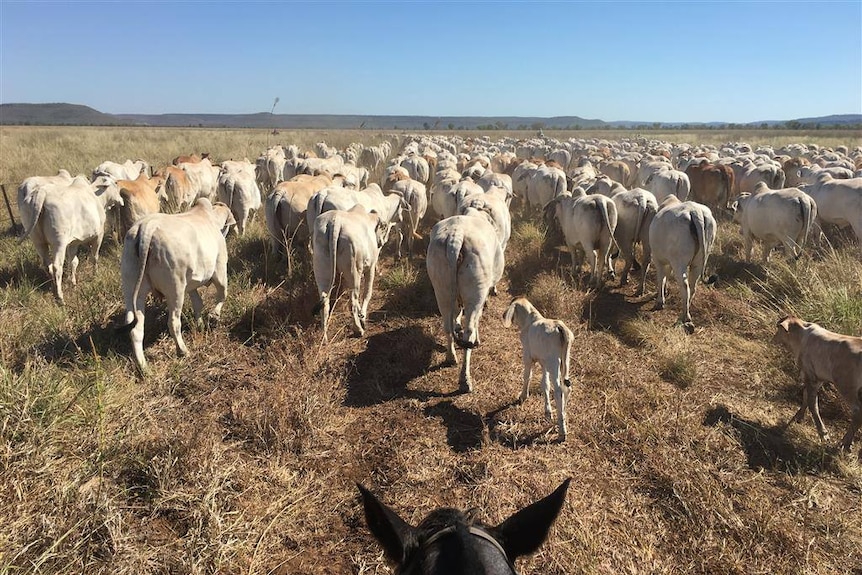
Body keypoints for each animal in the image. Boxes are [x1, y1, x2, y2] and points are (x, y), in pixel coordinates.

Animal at [506, 296, 572, 440]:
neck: (530, 320)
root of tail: (559, 326)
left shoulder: (528, 356)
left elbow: (527, 376)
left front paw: (523, 396)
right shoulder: (543, 363)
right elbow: (544, 384)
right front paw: (548, 412)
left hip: (554, 362)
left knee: (558, 390)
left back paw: (562, 431)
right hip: (565, 360)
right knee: (567, 386)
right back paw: (562, 414)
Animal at [776, 316, 862, 454]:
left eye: (778, 328)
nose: (774, 338)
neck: (801, 336)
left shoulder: (810, 376)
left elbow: (812, 403)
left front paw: (823, 434)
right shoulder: (816, 377)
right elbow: (806, 396)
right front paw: (798, 417)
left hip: (846, 387)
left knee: (858, 412)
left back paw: (844, 443)